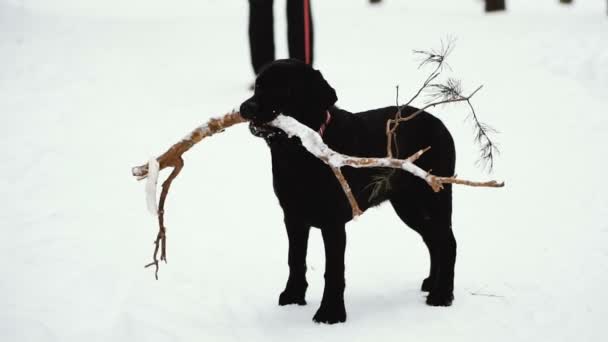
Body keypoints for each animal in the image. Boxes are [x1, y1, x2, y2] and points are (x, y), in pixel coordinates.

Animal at [240, 58, 454, 324]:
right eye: (258, 85)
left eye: (284, 89)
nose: (245, 107)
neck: (299, 153)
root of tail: (441, 125)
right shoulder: (293, 216)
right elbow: (295, 259)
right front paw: (293, 296)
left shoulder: (332, 222)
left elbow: (333, 270)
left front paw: (330, 313)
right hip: (410, 206)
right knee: (434, 241)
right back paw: (431, 284)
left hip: (433, 198)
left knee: (448, 243)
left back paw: (442, 295)